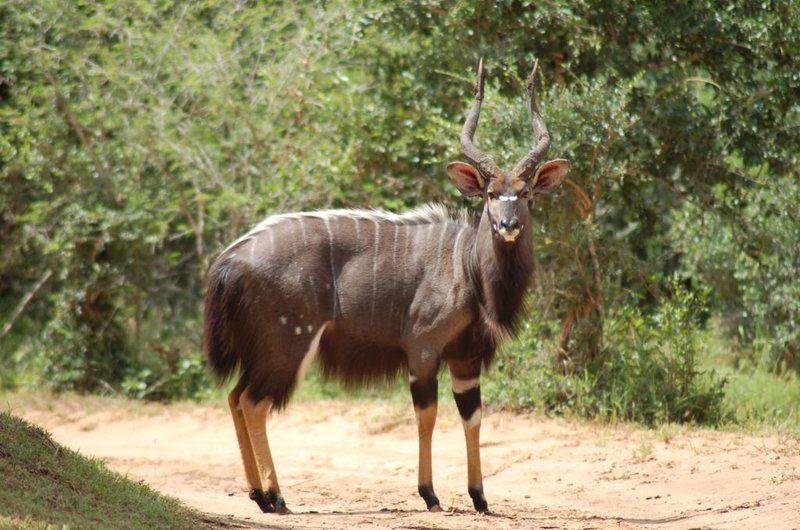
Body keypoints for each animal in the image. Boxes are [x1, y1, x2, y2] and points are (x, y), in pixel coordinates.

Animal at [206, 59, 568, 512]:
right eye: (489, 193)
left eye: (526, 192)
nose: (508, 225)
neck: (467, 267)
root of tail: (229, 260)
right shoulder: (423, 348)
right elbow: (426, 414)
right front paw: (430, 495)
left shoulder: (465, 357)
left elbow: (473, 416)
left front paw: (480, 499)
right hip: (287, 344)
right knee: (254, 403)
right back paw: (275, 497)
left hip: (263, 350)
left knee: (235, 397)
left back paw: (258, 494)